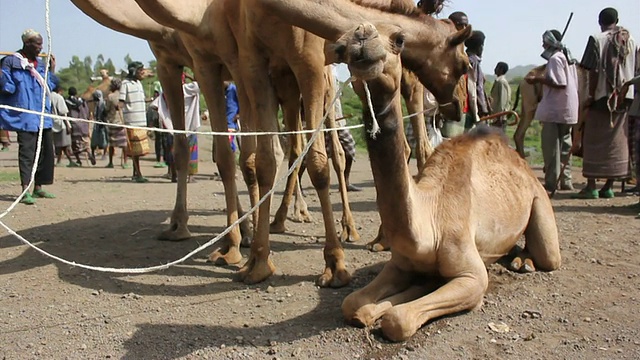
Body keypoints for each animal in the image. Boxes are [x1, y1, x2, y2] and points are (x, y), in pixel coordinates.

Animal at [332, 22, 564, 344]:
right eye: (340, 48)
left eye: (399, 40)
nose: (362, 35)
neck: (428, 214)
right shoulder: (400, 264)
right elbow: (352, 303)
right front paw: (373, 307)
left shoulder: (471, 275)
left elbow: (399, 319)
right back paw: (518, 259)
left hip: (539, 200)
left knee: (548, 255)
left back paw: (526, 262)